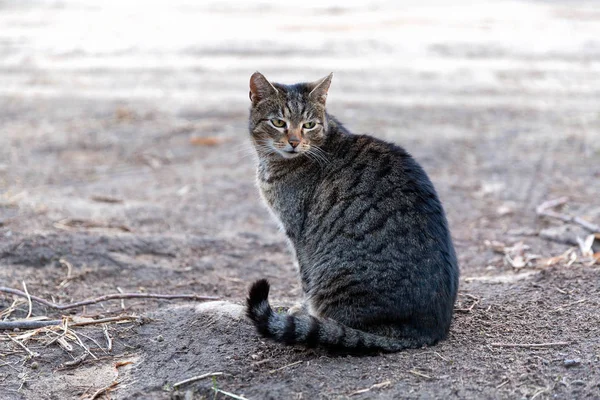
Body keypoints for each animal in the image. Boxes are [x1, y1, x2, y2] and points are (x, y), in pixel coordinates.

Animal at [244, 72, 460, 354]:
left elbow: (305, 280)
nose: (294, 142)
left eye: (308, 125)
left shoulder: (298, 235)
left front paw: (303, 311)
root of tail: (423, 331)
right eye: (279, 122)